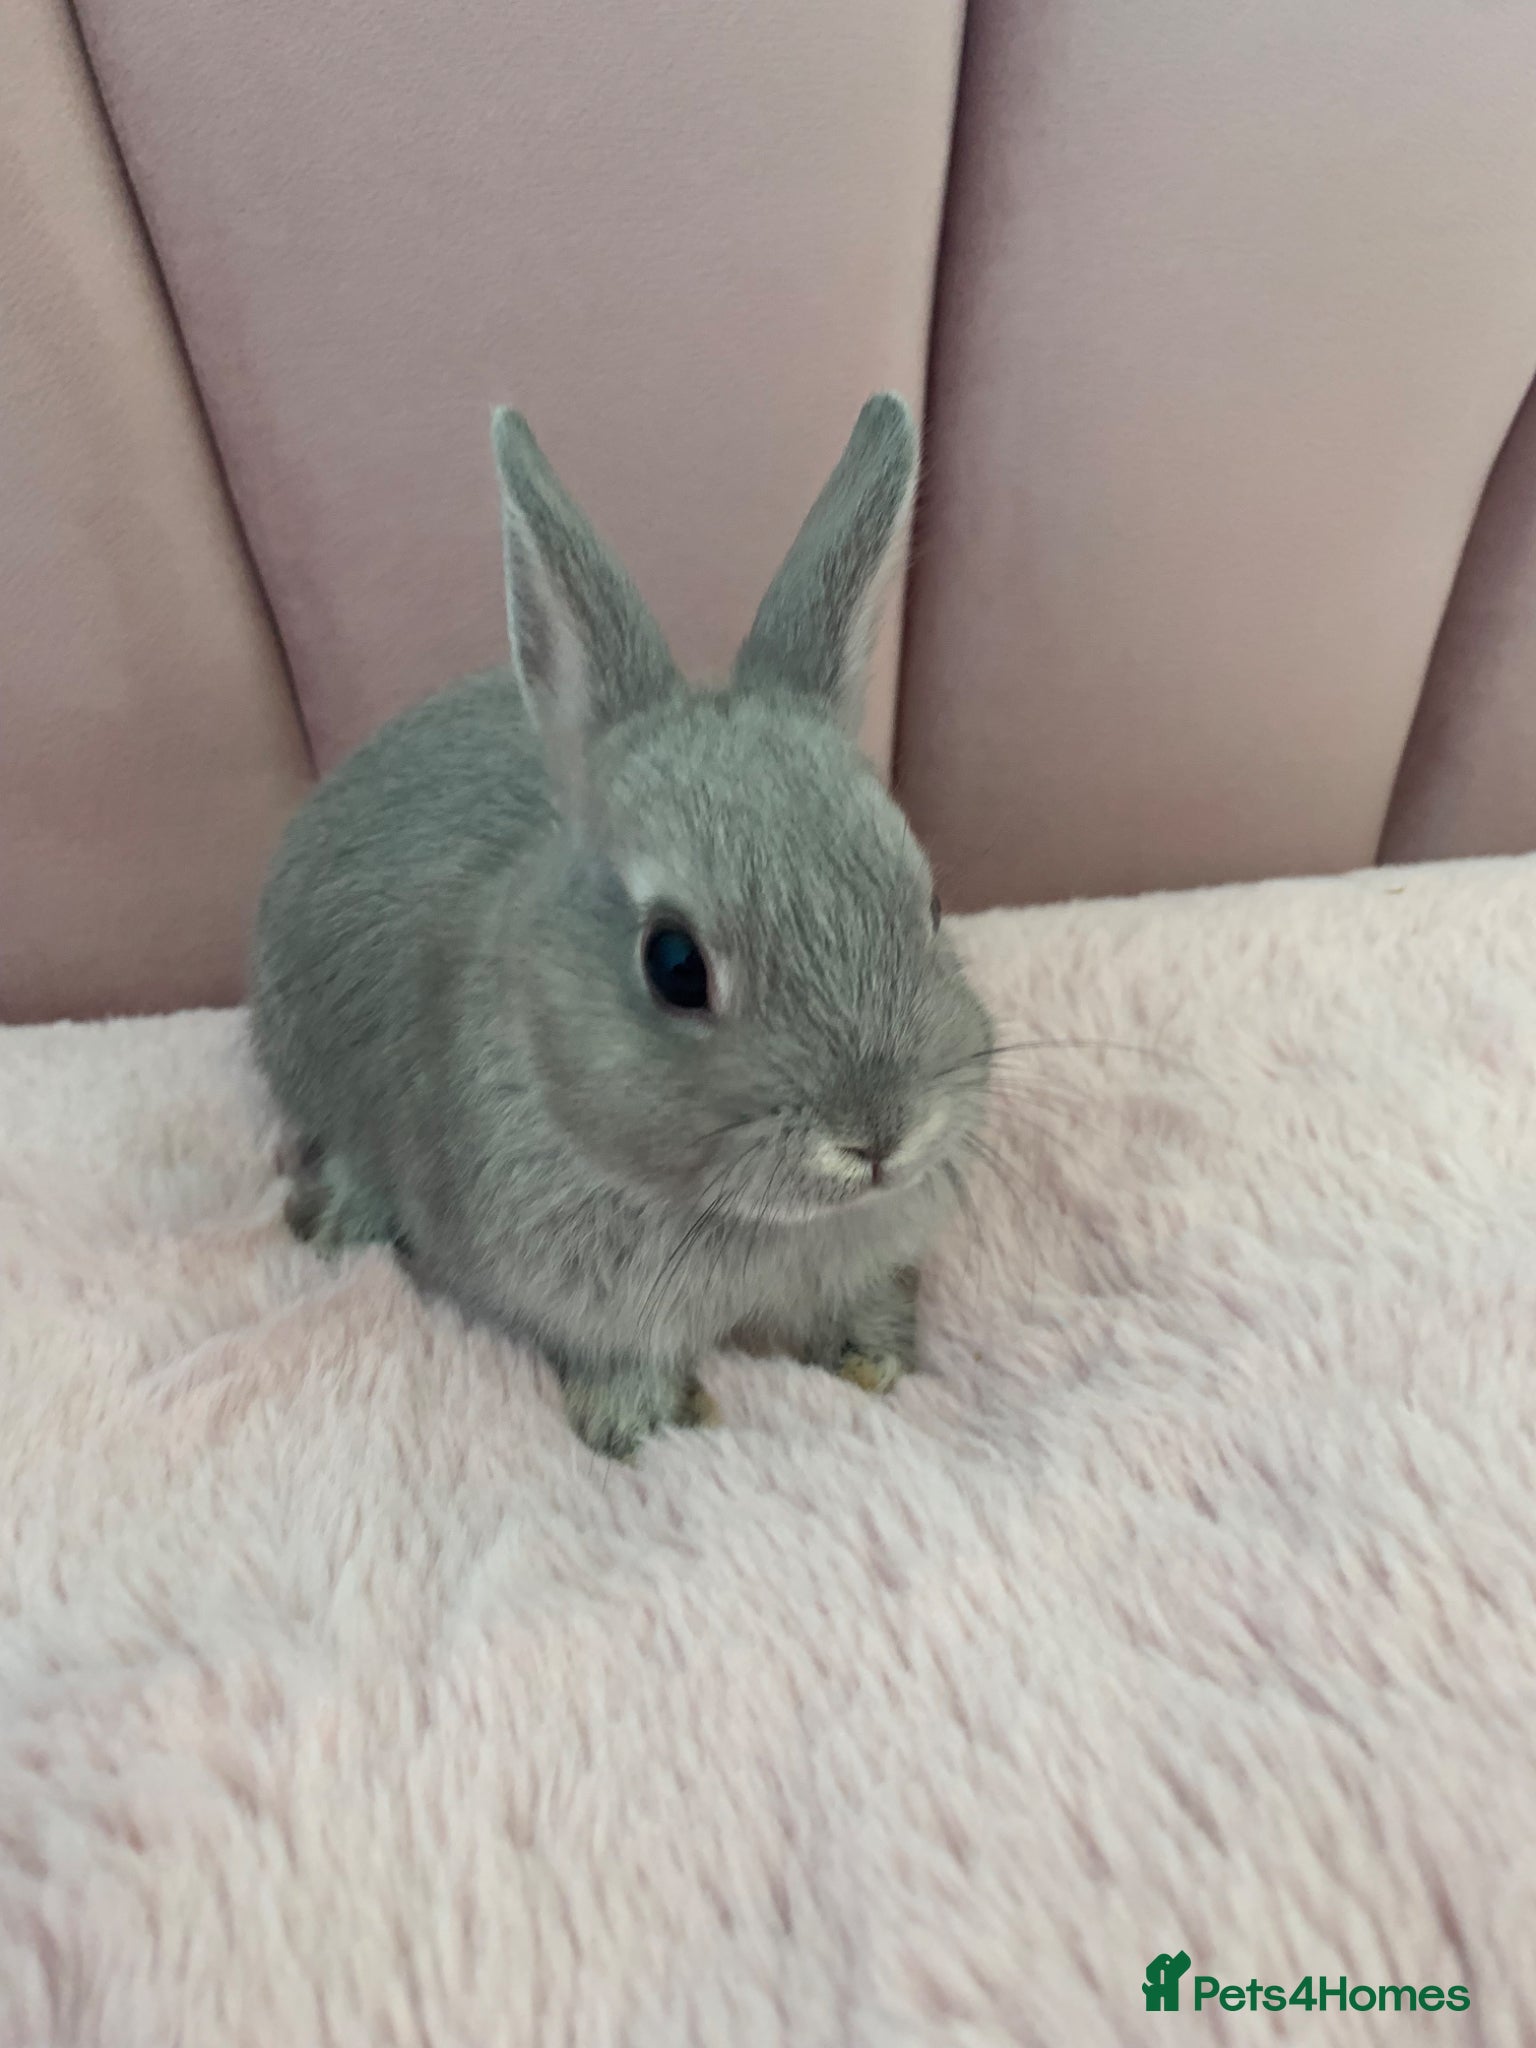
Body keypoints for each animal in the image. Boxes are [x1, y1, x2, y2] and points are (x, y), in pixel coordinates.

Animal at [250, 394, 993, 1458]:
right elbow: (616, 1359)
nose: (879, 1135)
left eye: (928, 904)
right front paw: (640, 1425)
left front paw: (875, 1361)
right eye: (674, 963)